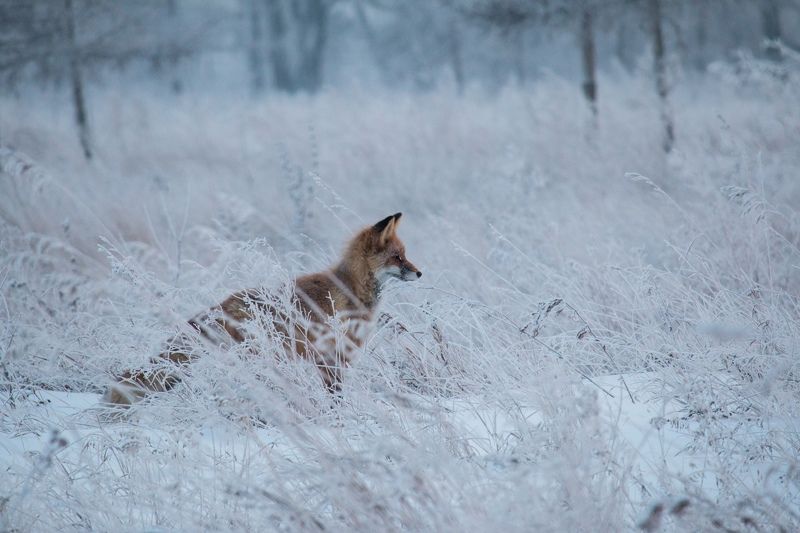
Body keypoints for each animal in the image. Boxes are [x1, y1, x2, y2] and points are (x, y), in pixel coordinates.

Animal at [105, 212, 421, 406]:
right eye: (397, 257)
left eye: (405, 255)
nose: (420, 273)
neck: (351, 289)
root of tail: (222, 305)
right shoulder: (332, 356)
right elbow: (336, 396)